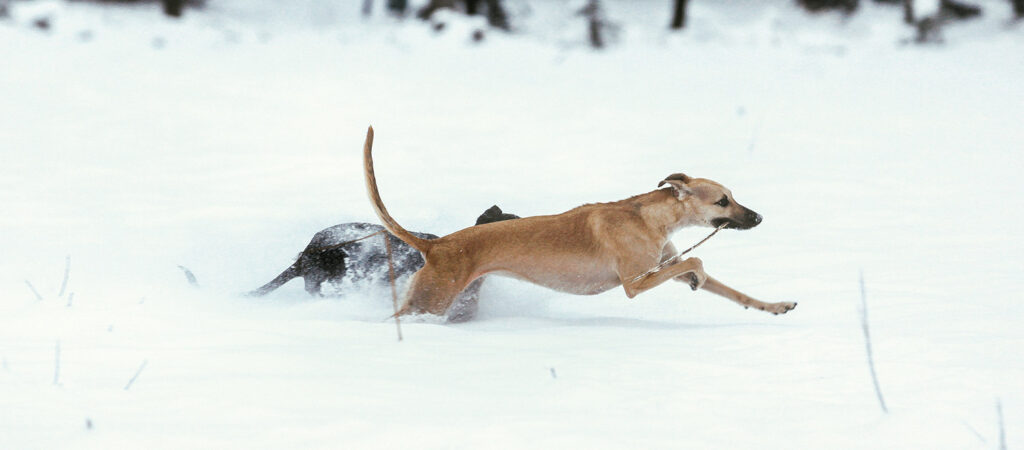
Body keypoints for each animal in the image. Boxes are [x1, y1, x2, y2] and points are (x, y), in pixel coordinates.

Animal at [364, 127, 794, 317]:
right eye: (723, 200)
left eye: (733, 196)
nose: (758, 217)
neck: (650, 218)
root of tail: (436, 246)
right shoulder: (635, 283)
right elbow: (696, 260)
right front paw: (697, 275)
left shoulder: (662, 265)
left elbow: (735, 292)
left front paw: (775, 305)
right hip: (433, 299)